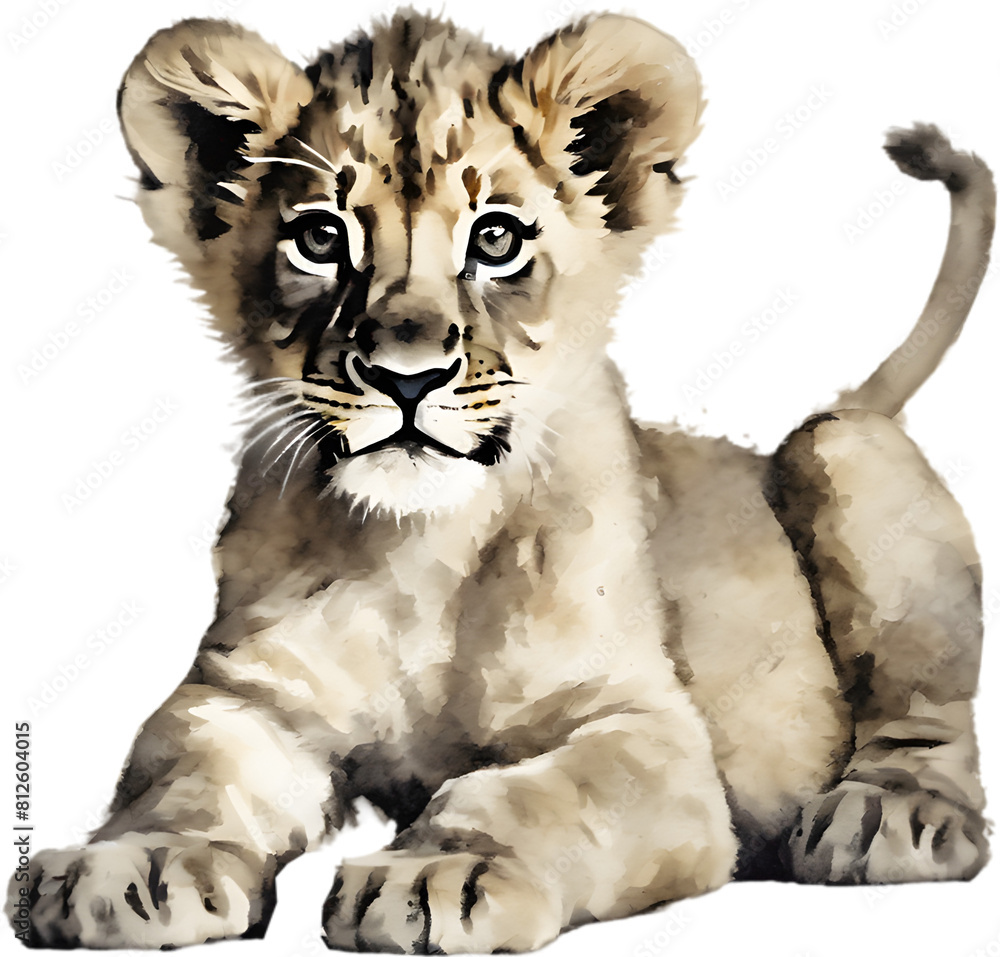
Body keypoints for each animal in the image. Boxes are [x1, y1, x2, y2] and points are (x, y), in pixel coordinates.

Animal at [10, 10, 993, 953]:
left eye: (496, 238)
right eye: (321, 238)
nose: (405, 377)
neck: (420, 548)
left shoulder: (646, 731)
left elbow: (526, 795)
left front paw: (441, 874)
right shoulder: (247, 697)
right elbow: (181, 776)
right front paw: (125, 865)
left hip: (844, 449)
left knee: (930, 726)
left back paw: (890, 815)